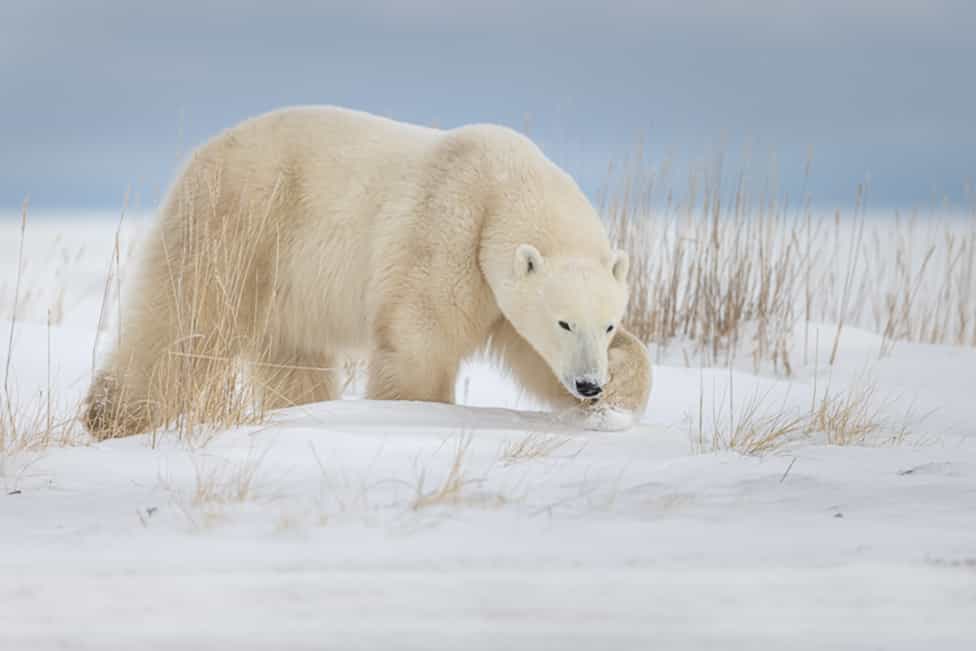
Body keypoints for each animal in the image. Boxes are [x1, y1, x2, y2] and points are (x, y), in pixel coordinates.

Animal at [82, 105, 648, 438]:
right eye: (564, 321)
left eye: (608, 324)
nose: (589, 384)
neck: (503, 185)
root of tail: (202, 153)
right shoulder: (447, 232)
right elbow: (421, 338)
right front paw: (413, 411)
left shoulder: (499, 289)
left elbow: (533, 356)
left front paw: (619, 393)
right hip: (239, 225)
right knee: (186, 321)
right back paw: (112, 417)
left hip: (285, 279)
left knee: (293, 356)